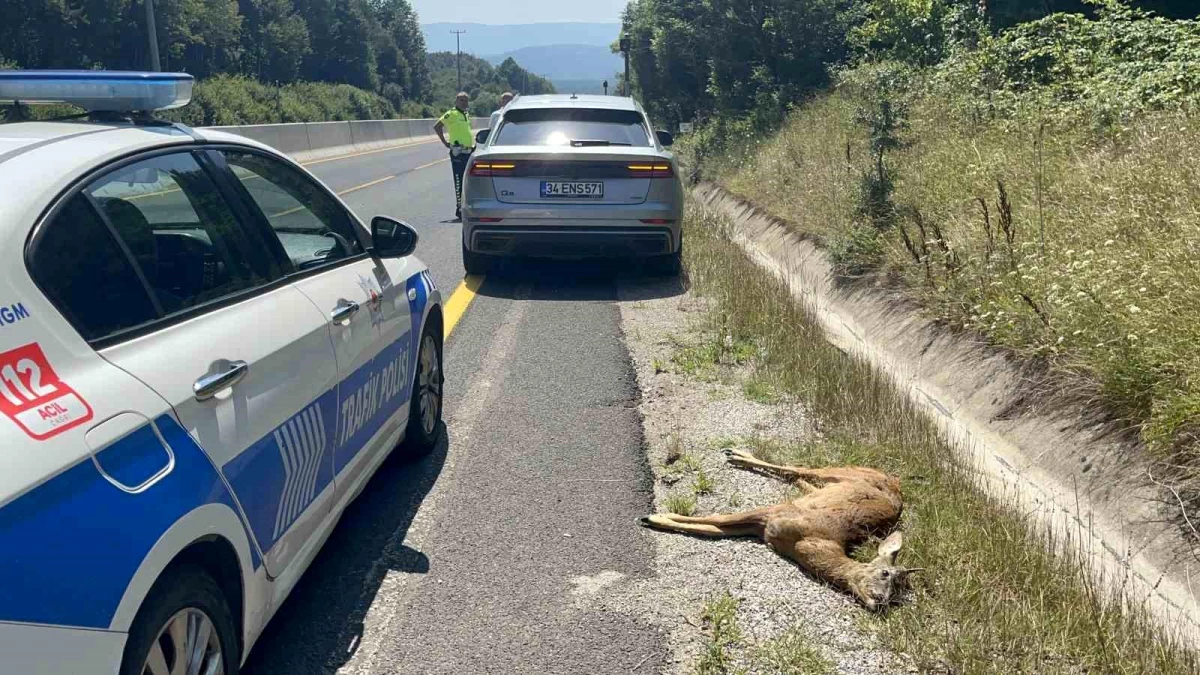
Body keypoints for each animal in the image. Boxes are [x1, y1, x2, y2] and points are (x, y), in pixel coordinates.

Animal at [643, 446, 912, 610]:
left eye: (895, 598)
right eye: (885, 573)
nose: (880, 601)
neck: (810, 542)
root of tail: (896, 483)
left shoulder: (763, 528)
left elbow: (713, 529)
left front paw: (657, 518)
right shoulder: (774, 513)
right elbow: (718, 519)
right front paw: (655, 516)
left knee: (798, 477)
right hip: (840, 471)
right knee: (797, 468)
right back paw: (735, 454)